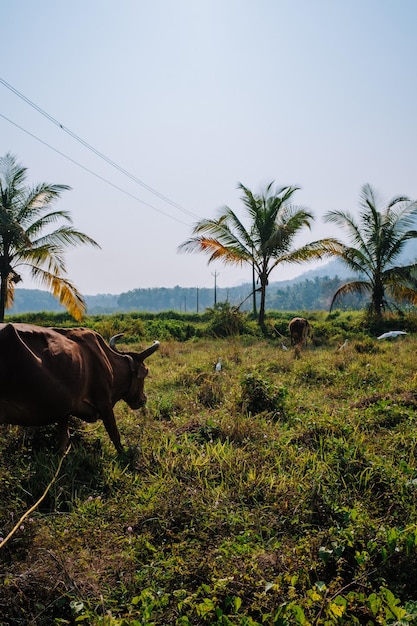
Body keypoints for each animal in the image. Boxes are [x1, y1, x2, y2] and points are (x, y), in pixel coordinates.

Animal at [0, 324, 159, 450]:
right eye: (144, 373)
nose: (143, 400)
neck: (108, 361)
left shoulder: (64, 411)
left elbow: (63, 441)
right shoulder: (104, 402)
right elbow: (115, 434)